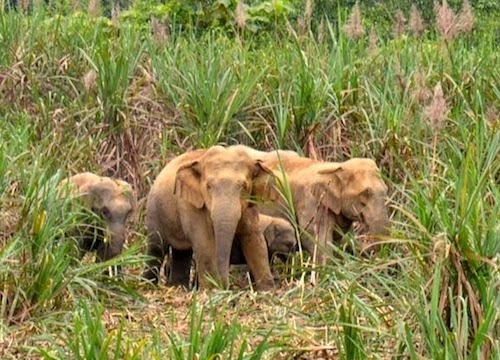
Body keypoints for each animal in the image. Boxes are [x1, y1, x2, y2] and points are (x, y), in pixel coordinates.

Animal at [143, 145, 276, 292]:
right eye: (208, 186)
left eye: (244, 186)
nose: (226, 286)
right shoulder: (190, 205)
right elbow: (204, 242)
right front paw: (211, 290)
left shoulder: (249, 206)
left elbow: (254, 239)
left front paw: (267, 290)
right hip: (154, 211)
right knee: (156, 248)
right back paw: (147, 285)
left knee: (182, 252)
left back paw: (178, 287)